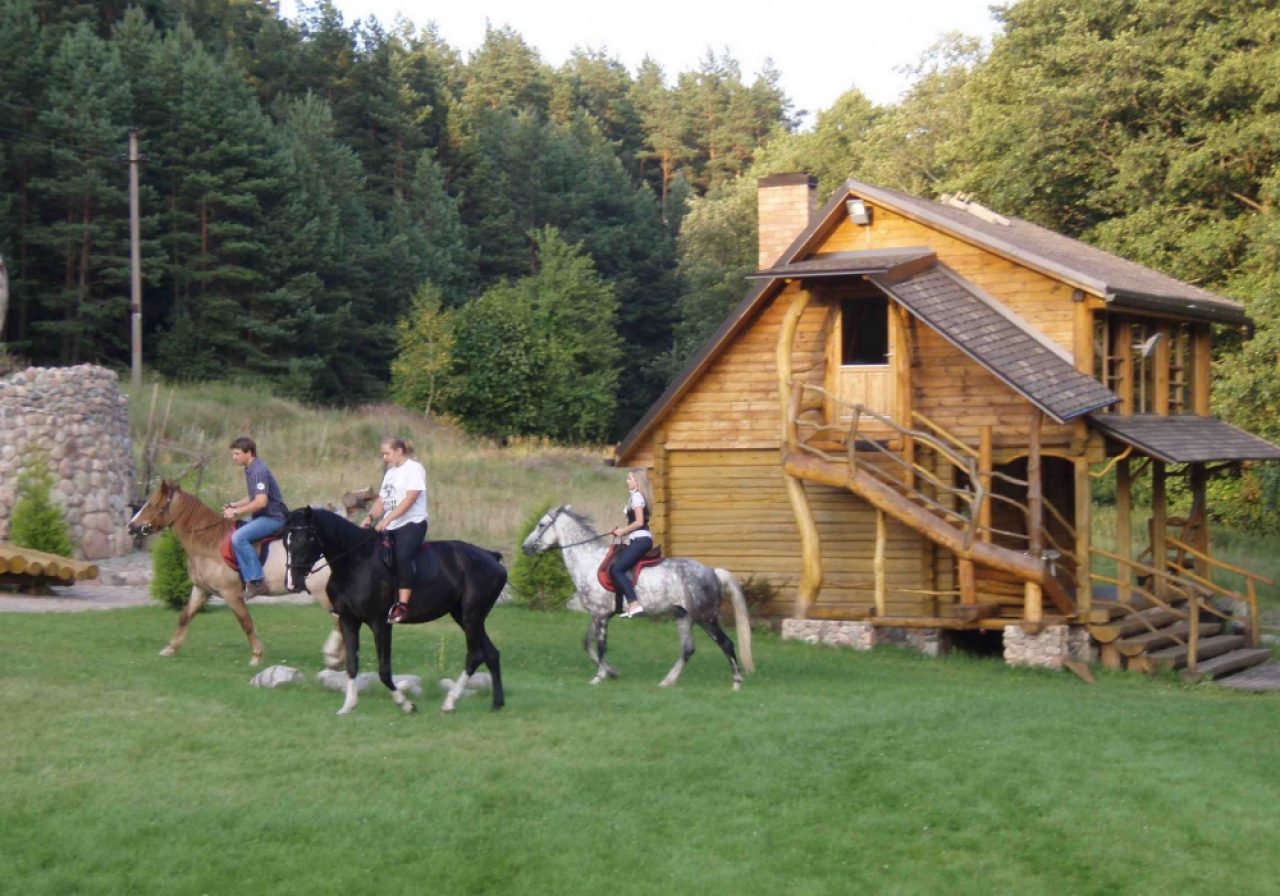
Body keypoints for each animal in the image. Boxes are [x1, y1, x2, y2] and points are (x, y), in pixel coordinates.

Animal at [127, 479, 340, 667]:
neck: (210, 541)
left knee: (339, 623)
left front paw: (256, 656)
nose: (131, 526)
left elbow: (246, 622)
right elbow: (185, 616)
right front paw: (170, 648)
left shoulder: (231, 594)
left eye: (151, 503)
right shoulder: (201, 589)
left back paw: (334, 657)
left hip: (323, 594)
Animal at [282, 506, 508, 715]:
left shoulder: (380, 623)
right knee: (491, 654)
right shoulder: (348, 620)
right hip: (463, 616)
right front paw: (348, 706)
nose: (292, 583)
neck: (356, 562)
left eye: (306, 539)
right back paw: (496, 703)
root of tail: (491, 557)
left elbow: (383, 671)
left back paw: (450, 702)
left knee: (475, 655)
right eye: (286, 541)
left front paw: (406, 705)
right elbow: (352, 665)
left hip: (471, 616)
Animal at [521, 505, 755, 690]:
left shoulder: (600, 615)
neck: (588, 560)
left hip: (706, 617)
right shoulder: (599, 614)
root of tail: (711, 572)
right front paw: (611, 671)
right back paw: (667, 682)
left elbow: (600, 645)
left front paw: (599, 676)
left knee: (726, 644)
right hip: (684, 616)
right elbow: (587, 644)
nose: (525, 547)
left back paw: (736, 683)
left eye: (541, 525)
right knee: (687, 650)